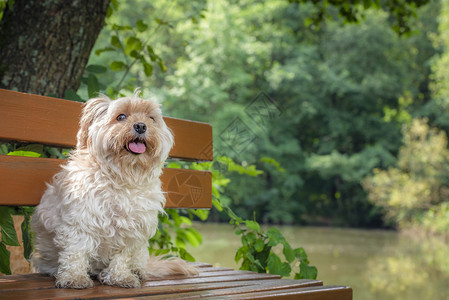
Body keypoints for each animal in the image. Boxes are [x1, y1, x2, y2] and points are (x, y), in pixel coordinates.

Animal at [31, 91, 198, 288]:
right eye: (121, 117)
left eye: (151, 118)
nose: (141, 126)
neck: (122, 178)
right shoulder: (81, 222)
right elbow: (76, 251)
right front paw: (74, 277)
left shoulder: (132, 229)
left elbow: (122, 257)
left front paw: (120, 276)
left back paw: (137, 271)